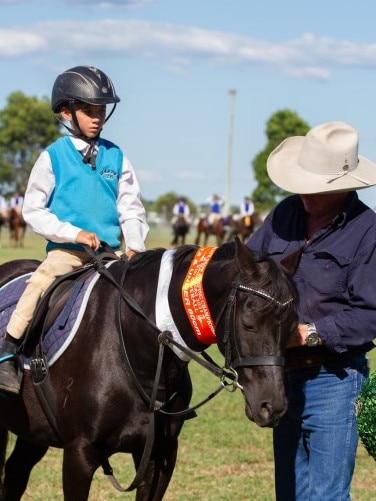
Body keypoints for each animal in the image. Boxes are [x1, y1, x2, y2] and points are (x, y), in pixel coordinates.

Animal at [0, 239, 296, 500]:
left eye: (292, 326)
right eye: (248, 322)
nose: (273, 406)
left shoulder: (160, 455)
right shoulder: (79, 453)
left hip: (34, 434)